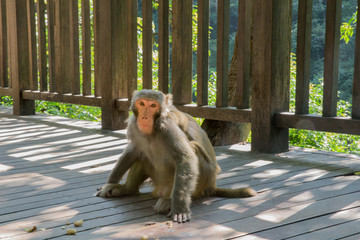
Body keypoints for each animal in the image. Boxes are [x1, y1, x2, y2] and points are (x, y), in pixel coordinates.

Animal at [97, 89, 256, 223]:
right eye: (141, 104)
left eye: (153, 105)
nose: (145, 117)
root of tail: (212, 185)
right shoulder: (134, 125)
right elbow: (133, 151)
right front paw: (110, 182)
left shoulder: (168, 127)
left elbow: (185, 158)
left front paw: (180, 209)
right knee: (143, 156)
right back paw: (128, 189)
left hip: (200, 180)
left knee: (193, 149)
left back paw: (170, 201)